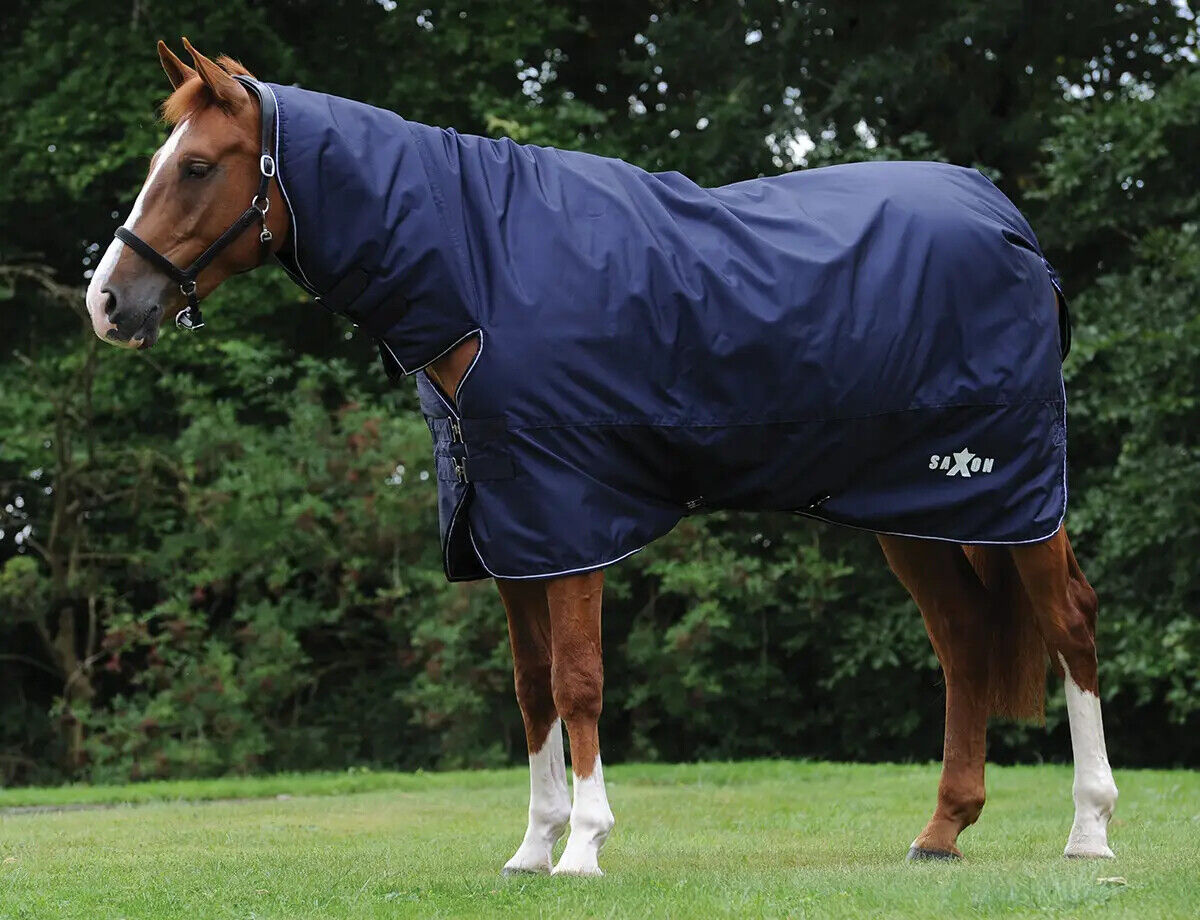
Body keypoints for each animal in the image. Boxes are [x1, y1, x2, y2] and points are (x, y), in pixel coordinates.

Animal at [84, 39, 1118, 876]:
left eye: (198, 166)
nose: (107, 302)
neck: (482, 270)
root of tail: (1009, 221)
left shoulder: (569, 513)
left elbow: (578, 679)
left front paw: (584, 845)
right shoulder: (506, 530)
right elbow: (532, 688)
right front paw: (532, 847)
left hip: (1014, 495)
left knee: (1068, 623)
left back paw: (1089, 831)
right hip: (915, 510)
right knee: (964, 644)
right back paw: (942, 833)